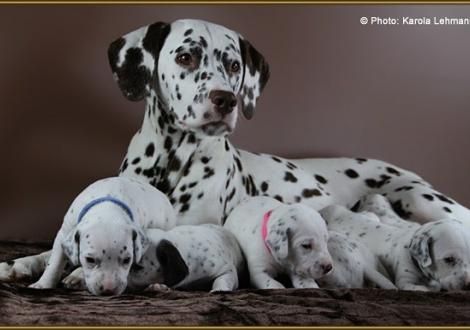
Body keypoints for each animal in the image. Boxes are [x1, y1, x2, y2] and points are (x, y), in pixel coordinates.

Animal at [19, 177, 176, 296]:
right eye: (90, 260)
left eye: (127, 260)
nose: (108, 290)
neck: (107, 206)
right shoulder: (63, 235)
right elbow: (55, 263)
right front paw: (43, 284)